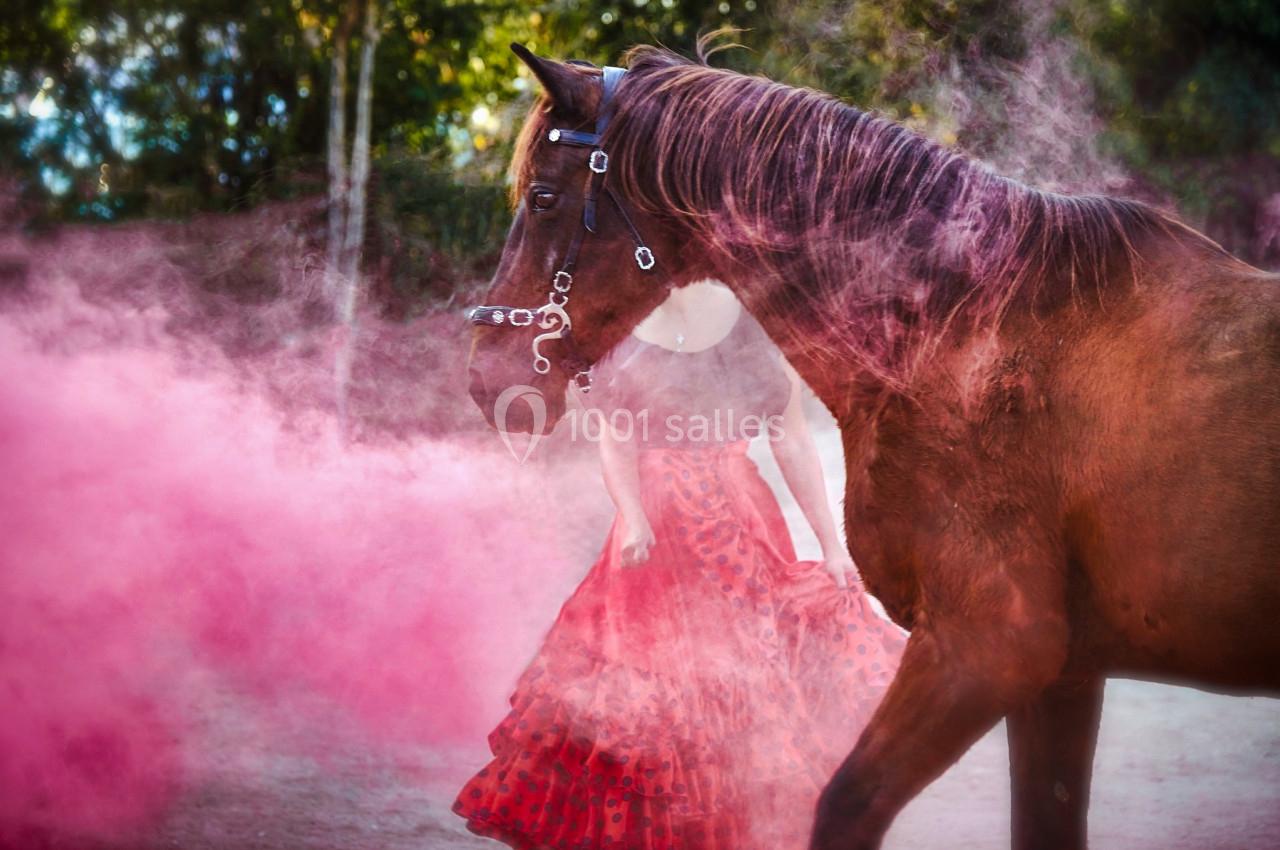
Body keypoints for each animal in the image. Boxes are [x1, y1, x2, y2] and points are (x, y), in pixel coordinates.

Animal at [464, 38, 1280, 850]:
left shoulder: (987, 649)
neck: (964, 333)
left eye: (543, 198)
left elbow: (847, 803)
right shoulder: (1062, 675)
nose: (484, 375)